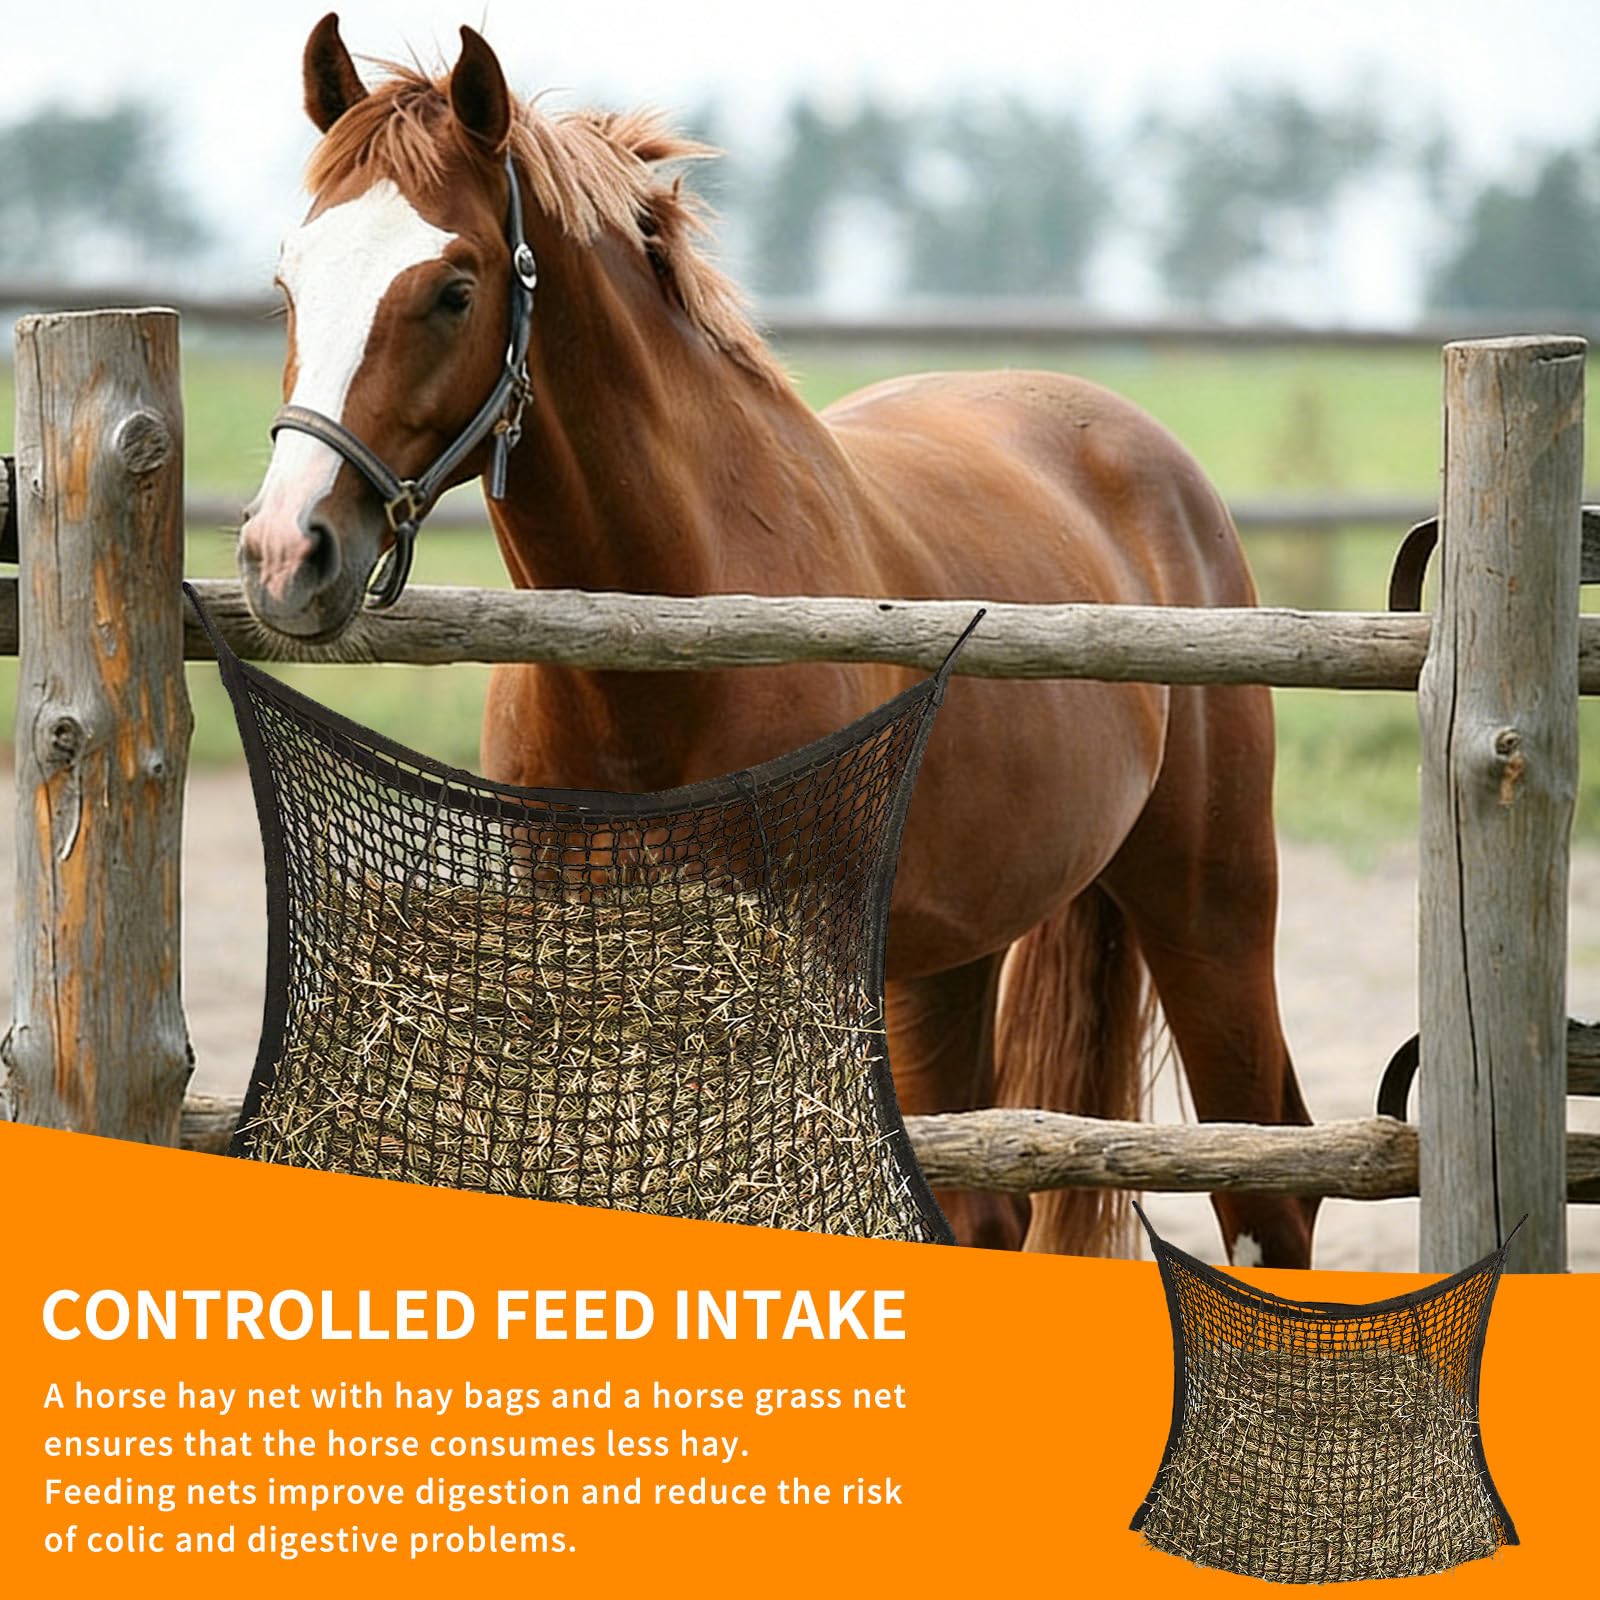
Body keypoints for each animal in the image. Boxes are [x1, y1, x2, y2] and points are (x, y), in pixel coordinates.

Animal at [236, 15, 1319, 1266]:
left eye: (455, 290)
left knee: (1271, 1186)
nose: (285, 552)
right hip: (948, 962)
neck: (660, 652)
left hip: (1210, 915)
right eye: (287, 280)